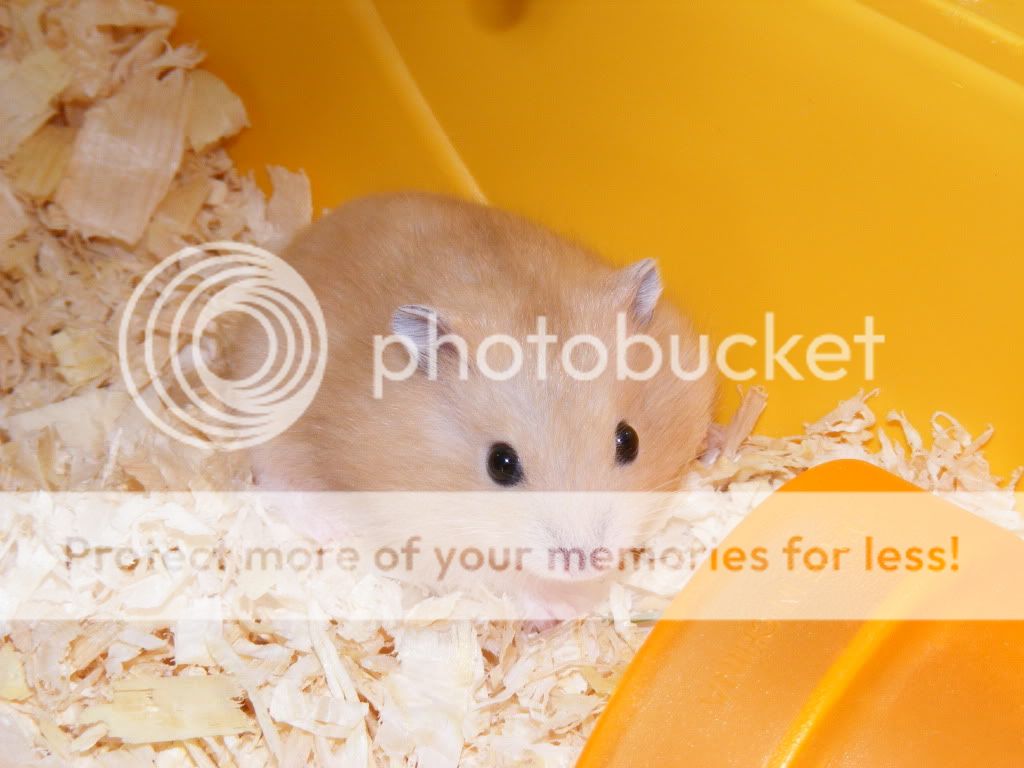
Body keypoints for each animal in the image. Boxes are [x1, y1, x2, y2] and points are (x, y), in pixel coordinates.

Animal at [228, 193, 716, 606]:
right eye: (500, 464)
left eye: (629, 441)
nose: (584, 563)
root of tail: (304, 241)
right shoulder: (422, 532)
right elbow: (500, 575)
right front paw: (572, 603)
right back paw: (334, 530)